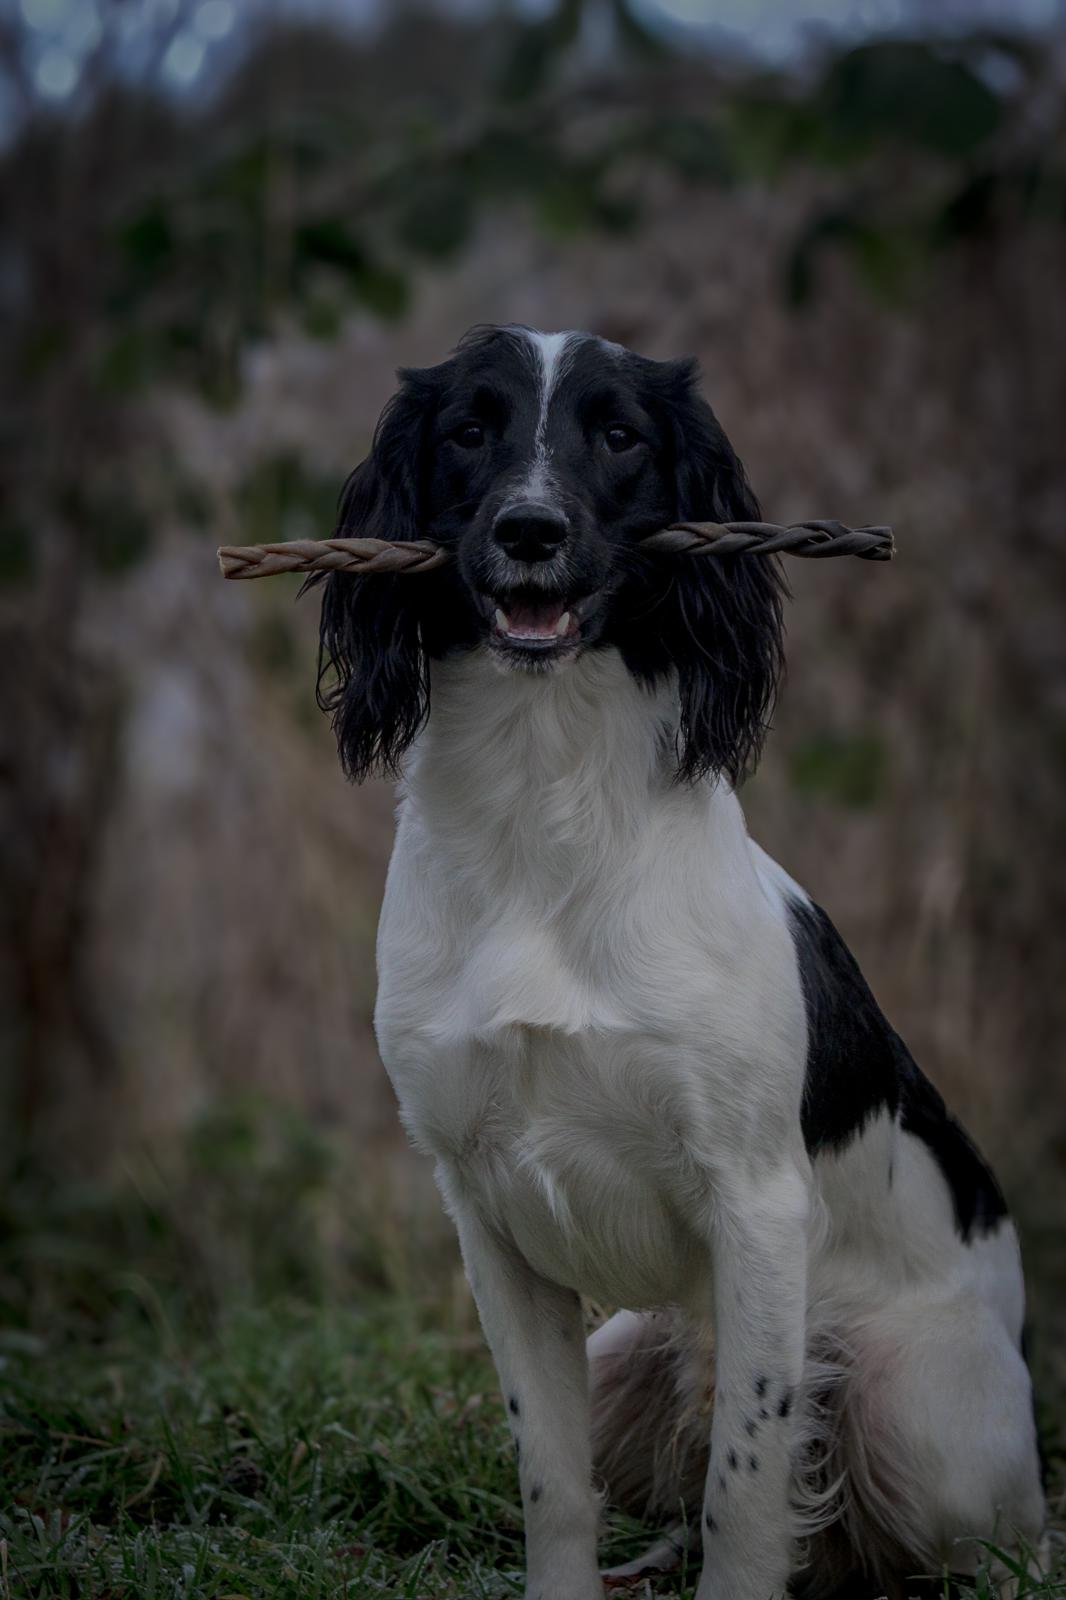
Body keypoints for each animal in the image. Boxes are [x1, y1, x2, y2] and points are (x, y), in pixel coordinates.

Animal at [312, 328, 1043, 1600]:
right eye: (468, 429)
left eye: (617, 434)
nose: (530, 529)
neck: (545, 812)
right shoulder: (485, 1212)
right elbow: (551, 1476)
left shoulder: (754, 1202)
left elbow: (745, 1487)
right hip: (624, 1347)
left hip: (910, 1416)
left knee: (988, 1536)